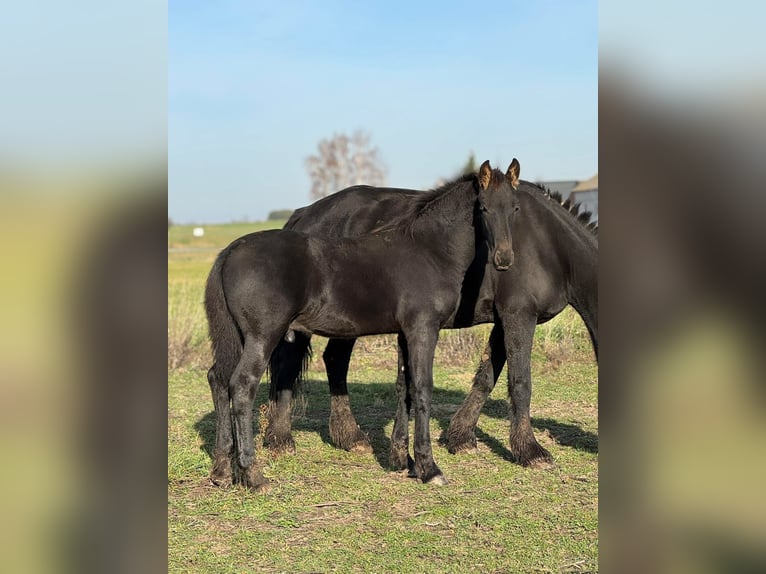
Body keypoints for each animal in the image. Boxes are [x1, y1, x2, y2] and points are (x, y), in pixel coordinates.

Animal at [204, 160, 520, 491]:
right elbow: (422, 388)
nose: (504, 258)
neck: (429, 251)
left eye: (515, 207)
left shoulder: (404, 333)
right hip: (262, 335)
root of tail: (230, 251)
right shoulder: (423, 329)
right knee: (242, 385)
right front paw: (429, 468)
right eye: (483, 207)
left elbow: (405, 388)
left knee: (219, 379)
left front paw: (404, 462)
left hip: (236, 336)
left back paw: (222, 471)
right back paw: (253, 475)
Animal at [266, 179, 597, 470]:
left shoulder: (503, 321)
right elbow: (520, 382)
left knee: (334, 360)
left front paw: (460, 437)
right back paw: (281, 439)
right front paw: (530, 451)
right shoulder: (519, 314)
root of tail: (304, 214)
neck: (549, 243)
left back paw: (348, 436)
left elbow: (487, 376)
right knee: (292, 364)